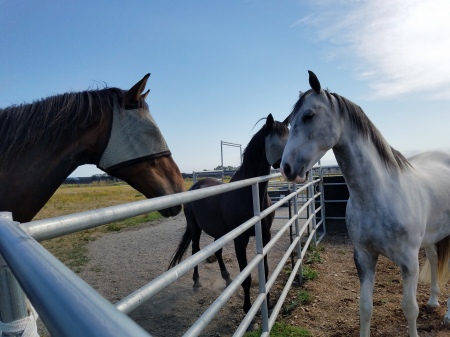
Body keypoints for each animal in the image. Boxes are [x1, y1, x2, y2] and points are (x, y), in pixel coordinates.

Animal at [169, 115, 288, 316]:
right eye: (276, 143)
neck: (250, 194)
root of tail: (195, 185)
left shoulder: (265, 235)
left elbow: (265, 270)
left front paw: (269, 302)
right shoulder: (240, 239)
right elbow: (246, 277)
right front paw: (247, 308)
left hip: (219, 231)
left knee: (217, 252)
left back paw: (227, 278)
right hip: (195, 228)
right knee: (195, 250)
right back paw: (196, 281)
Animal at [282, 69, 450, 334]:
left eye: (309, 115)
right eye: (290, 121)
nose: (286, 168)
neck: (380, 194)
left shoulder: (409, 262)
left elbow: (409, 309)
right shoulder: (363, 256)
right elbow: (365, 308)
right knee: (434, 258)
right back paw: (433, 301)